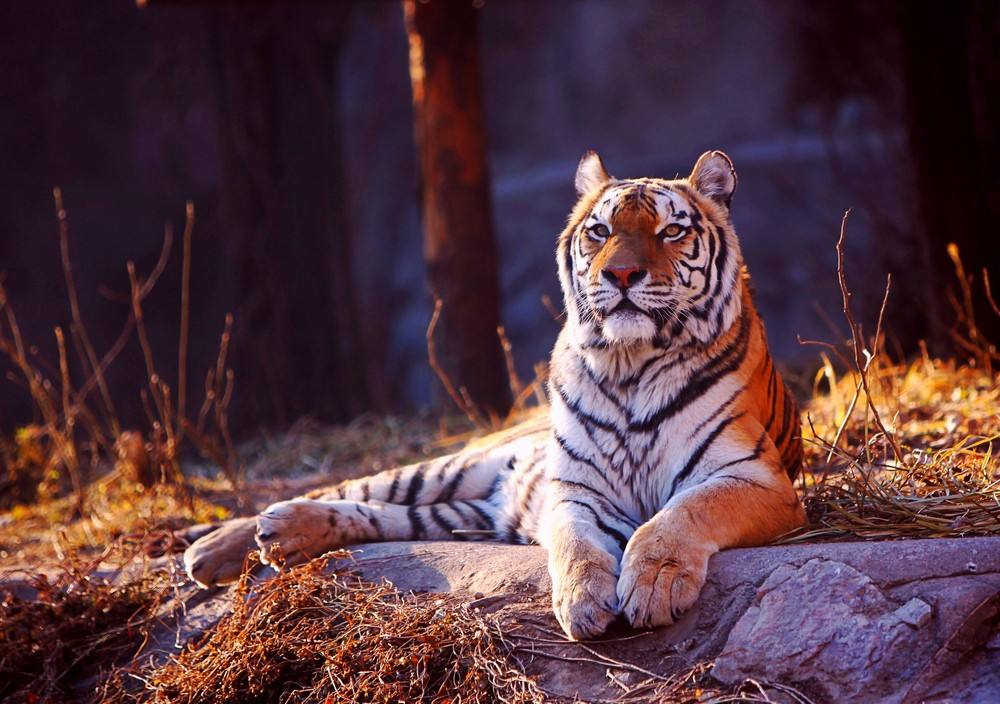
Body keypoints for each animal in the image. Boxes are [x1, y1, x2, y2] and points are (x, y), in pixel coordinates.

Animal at [184, 151, 808, 640]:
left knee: (381, 514)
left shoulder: (753, 477)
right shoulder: (576, 488)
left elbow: (679, 515)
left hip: (463, 513)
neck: (630, 364)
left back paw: (278, 538)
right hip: (452, 467)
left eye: (670, 232)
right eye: (600, 232)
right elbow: (577, 545)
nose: (622, 275)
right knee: (349, 487)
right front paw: (582, 602)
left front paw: (654, 584)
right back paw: (223, 544)